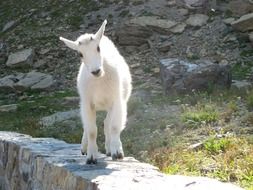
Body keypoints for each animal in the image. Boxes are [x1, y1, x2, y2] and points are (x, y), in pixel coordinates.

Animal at [59, 20, 132, 164]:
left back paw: (109, 149)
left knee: (107, 123)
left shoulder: (117, 101)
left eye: (98, 48)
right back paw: (84, 148)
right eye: (80, 54)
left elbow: (114, 126)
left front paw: (117, 153)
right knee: (88, 126)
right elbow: (92, 130)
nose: (96, 71)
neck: (99, 81)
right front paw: (91, 156)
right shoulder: (87, 103)